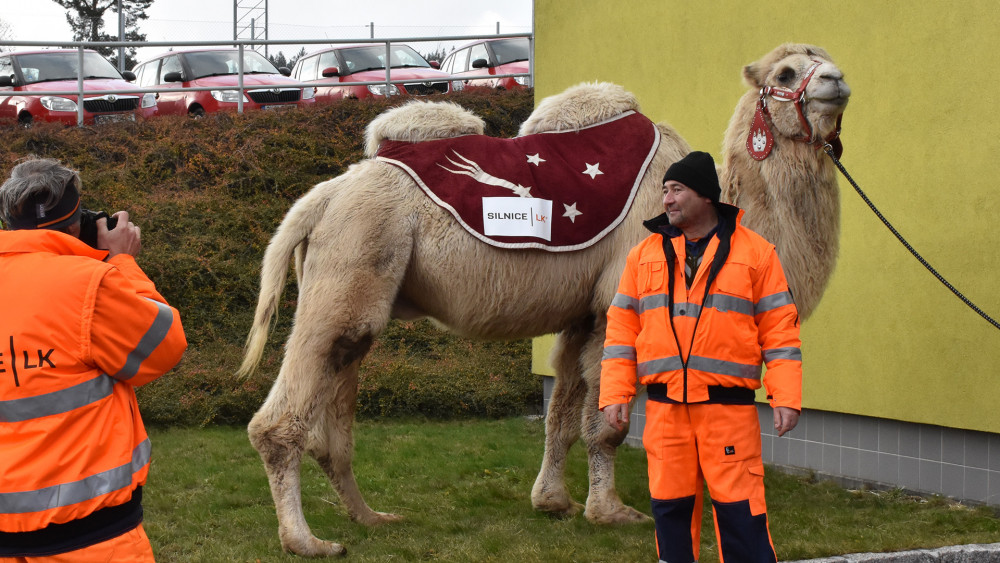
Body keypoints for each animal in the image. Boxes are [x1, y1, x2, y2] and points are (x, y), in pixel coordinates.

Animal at [236, 41, 852, 556]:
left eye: (825, 59)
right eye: (786, 73)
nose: (838, 81)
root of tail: (321, 196)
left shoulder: (581, 314)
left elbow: (561, 412)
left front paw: (553, 502)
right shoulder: (616, 303)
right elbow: (605, 422)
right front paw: (611, 513)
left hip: (356, 286)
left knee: (336, 412)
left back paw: (371, 518)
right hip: (352, 261)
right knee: (279, 419)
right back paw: (306, 542)